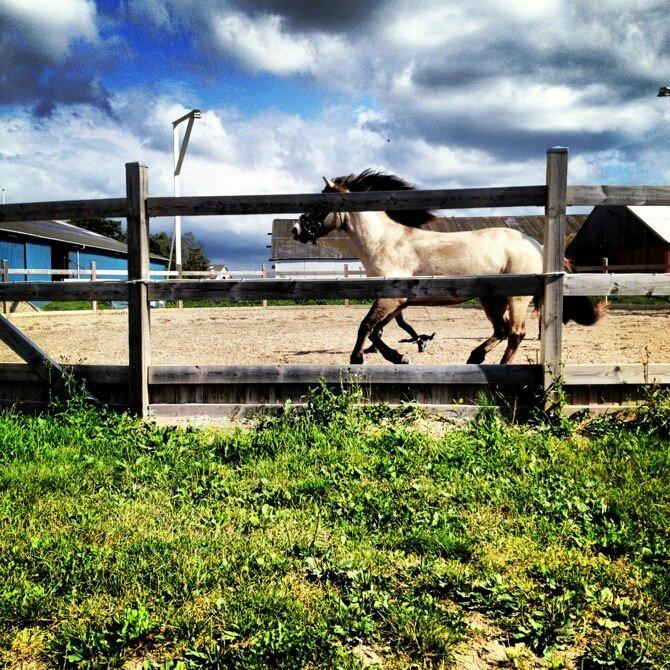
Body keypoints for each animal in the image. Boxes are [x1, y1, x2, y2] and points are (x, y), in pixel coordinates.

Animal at [292, 171, 608, 364]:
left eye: (320, 204)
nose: (297, 229)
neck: (387, 242)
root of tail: (537, 245)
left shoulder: (391, 298)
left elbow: (366, 326)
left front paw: (357, 359)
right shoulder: (396, 301)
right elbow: (377, 332)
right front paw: (399, 357)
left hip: (517, 297)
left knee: (516, 333)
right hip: (492, 298)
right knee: (502, 330)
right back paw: (475, 357)